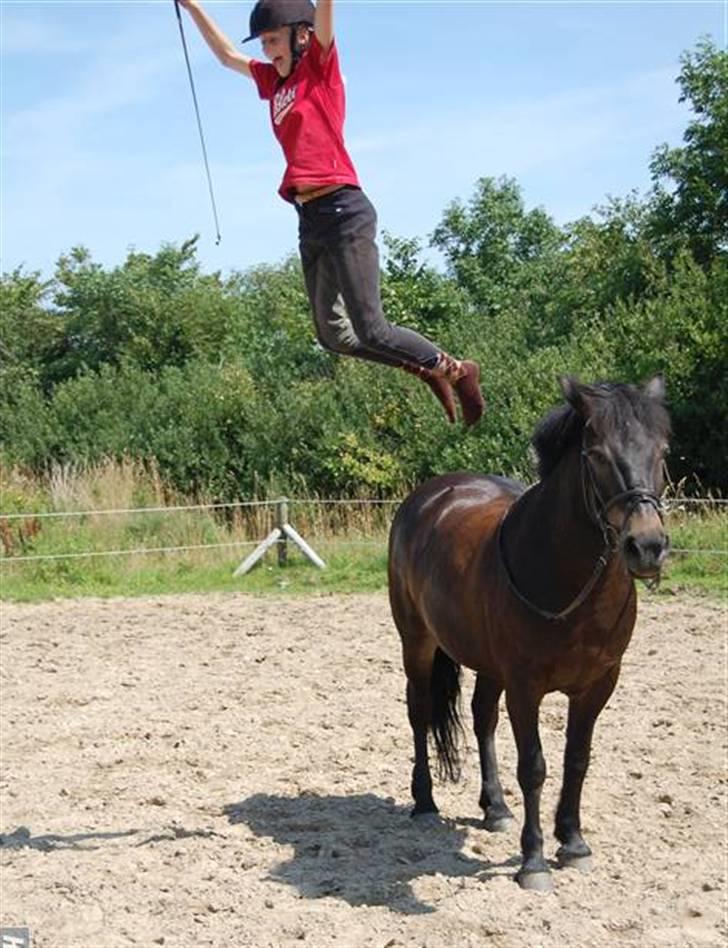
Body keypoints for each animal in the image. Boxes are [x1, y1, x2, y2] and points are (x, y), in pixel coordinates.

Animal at [386, 376, 672, 888]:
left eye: (663, 450)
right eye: (596, 453)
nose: (647, 546)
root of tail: (430, 495)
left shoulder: (599, 683)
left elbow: (576, 758)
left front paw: (574, 843)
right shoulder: (525, 685)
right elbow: (534, 766)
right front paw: (534, 860)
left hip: (486, 662)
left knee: (482, 717)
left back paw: (496, 808)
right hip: (416, 642)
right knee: (419, 712)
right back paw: (424, 801)